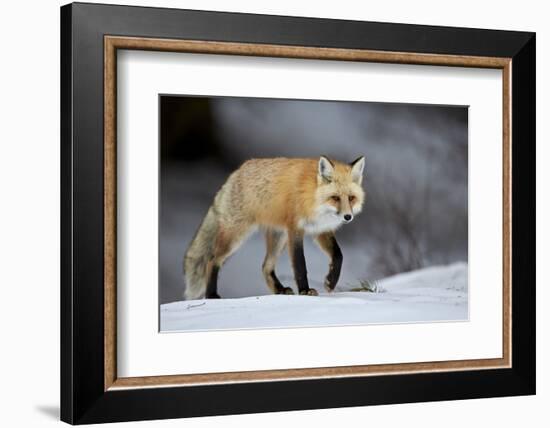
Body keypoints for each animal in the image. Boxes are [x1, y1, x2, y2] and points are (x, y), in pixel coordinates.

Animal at [184, 155, 366, 300]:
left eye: (351, 198)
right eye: (335, 198)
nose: (348, 217)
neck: (312, 197)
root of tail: (236, 172)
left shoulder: (320, 229)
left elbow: (338, 255)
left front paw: (331, 281)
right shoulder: (295, 229)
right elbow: (300, 265)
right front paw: (305, 291)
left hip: (279, 237)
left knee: (265, 266)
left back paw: (280, 290)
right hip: (236, 236)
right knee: (211, 260)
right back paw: (211, 295)